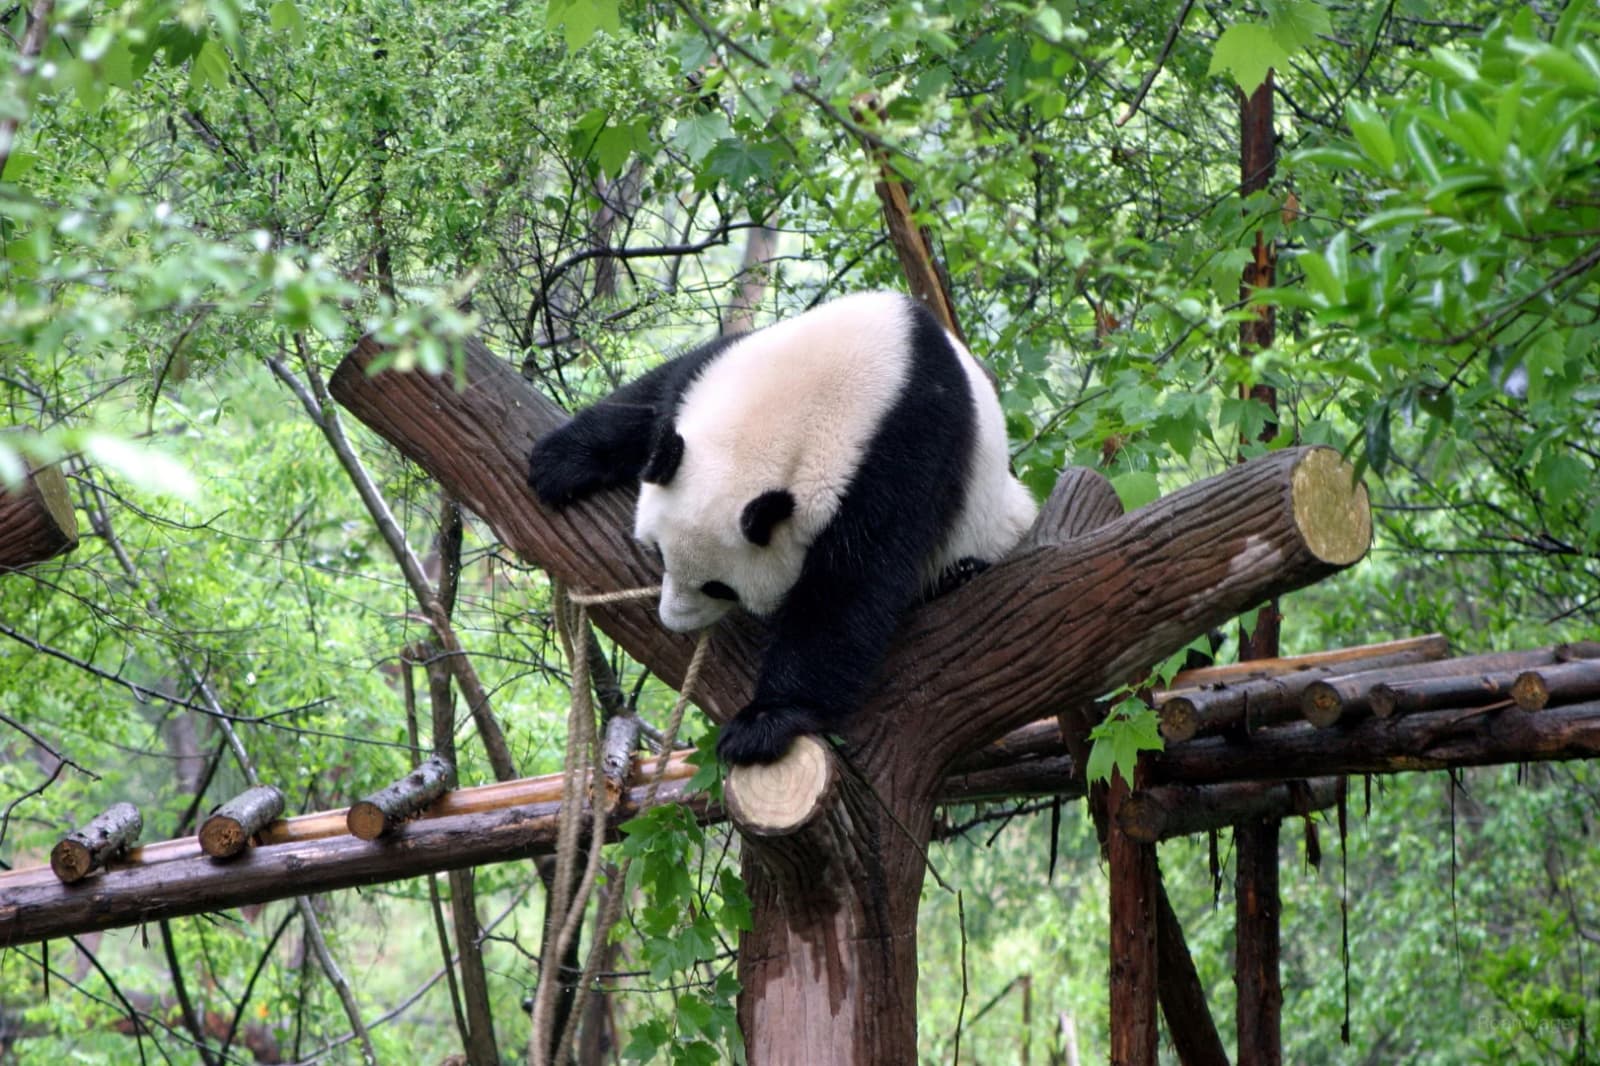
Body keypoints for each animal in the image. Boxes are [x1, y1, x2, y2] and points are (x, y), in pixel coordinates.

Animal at [528, 291, 1037, 765]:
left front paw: (765, 720)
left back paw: (959, 575)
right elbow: (653, 398)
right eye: (657, 552)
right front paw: (560, 461)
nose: (674, 621)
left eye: (720, 588)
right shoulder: (721, 366)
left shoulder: (904, 451)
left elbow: (849, 588)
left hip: (993, 522)